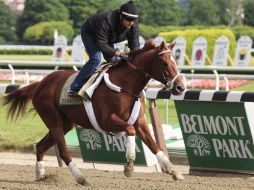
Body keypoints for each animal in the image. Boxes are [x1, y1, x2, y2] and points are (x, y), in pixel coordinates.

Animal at [1, 39, 185, 185]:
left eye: (176, 62)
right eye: (165, 64)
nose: (180, 87)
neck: (125, 85)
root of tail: (39, 84)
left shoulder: (139, 121)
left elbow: (154, 145)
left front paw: (174, 171)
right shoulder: (108, 121)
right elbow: (130, 131)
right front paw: (129, 166)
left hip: (65, 123)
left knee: (40, 146)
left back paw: (41, 175)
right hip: (53, 119)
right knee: (63, 152)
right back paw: (81, 178)